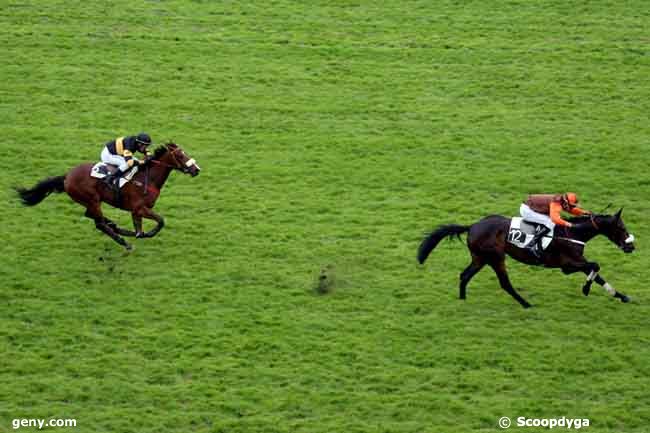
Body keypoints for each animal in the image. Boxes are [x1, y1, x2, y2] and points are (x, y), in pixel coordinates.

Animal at [16, 143, 199, 250]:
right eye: (180, 155)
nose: (196, 169)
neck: (147, 178)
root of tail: (67, 176)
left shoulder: (136, 211)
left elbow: (139, 228)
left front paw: (139, 233)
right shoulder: (139, 208)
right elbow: (160, 221)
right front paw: (149, 233)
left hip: (90, 201)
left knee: (94, 217)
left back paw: (116, 227)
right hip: (92, 199)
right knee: (99, 223)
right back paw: (123, 241)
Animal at [416, 210, 632, 308]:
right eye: (621, 228)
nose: (631, 246)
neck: (572, 232)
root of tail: (472, 226)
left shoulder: (578, 261)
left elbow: (597, 273)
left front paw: (621, 296)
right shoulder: (567, 265)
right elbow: (596, 266)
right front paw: (586, 289)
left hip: (480, 258)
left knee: (464, 275)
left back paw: (462, 299)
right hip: (496, 257)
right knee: (504, 283)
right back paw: (526, 304)